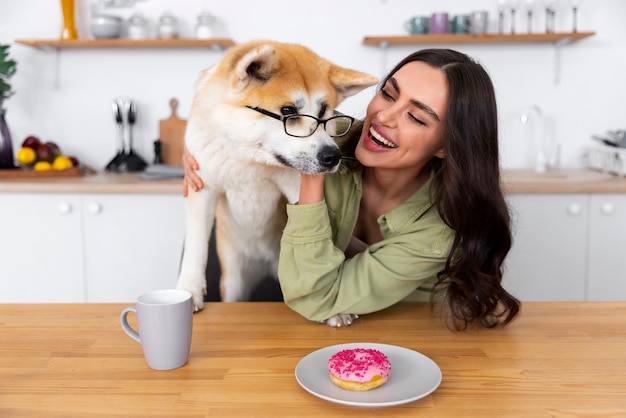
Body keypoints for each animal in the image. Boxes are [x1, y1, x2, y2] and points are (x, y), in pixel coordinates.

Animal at [176, 40, 378, 326]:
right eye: (288, 111)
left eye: (324, 112)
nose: (333, 156)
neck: (252, 162)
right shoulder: (202, 186)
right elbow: (195, 246)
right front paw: (188, 291)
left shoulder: (298, 189)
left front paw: (333, 306)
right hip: (235, 279)